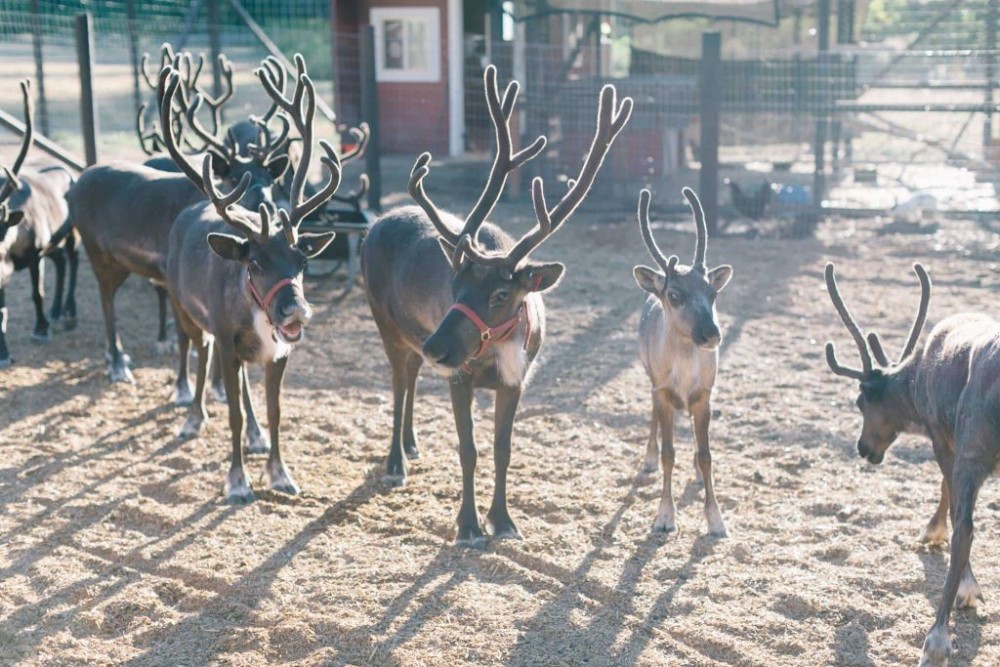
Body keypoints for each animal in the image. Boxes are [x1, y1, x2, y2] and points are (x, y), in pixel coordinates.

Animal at [632, 189, 736, 536]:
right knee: (652, 416)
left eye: (712, 293)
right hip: (650, 379)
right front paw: (664, 516)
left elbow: (707, 455)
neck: (685, 374)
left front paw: (716, 519)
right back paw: (648, 458)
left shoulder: (704, 395)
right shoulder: (663, 390)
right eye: (675, 295)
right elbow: (668, 454)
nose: (711, 334)